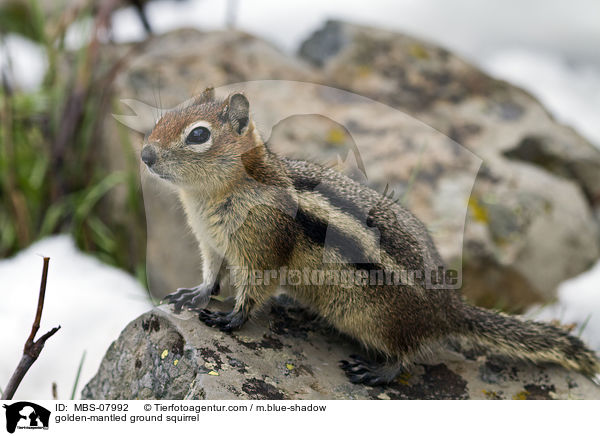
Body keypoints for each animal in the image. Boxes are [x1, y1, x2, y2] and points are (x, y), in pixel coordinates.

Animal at [142, 87, 600, 384]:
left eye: (198, 134)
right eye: (162, 118)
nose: (145, 154)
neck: (212, 196)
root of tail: (450, 308)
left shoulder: (263, 245)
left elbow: (255, 288)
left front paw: (231, 318)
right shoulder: (211, 243)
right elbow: (210, 275)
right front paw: (193, 295)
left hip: (381, 320)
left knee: (409, 352)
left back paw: (378, 370)